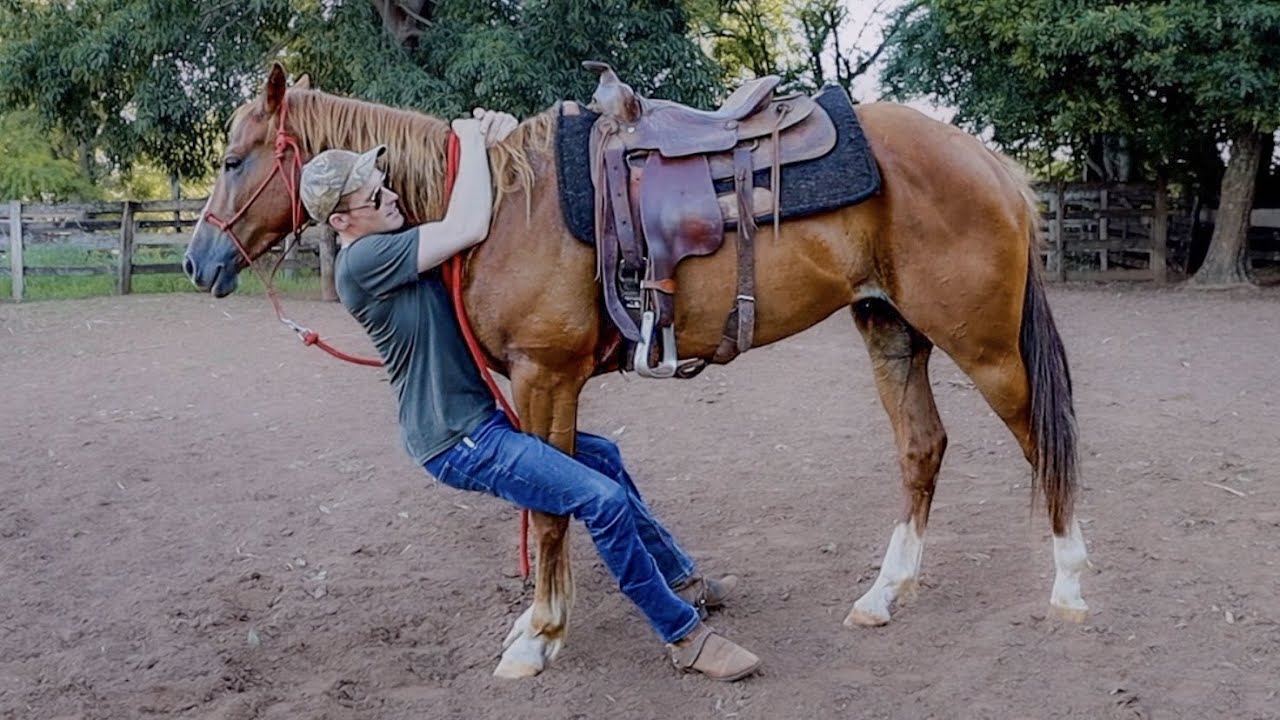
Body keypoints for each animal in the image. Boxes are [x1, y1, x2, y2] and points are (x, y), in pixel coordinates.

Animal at [184, 63, 1090, 679]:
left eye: (231, 160)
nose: (196, 262)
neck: (502, 210)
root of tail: (991, 163)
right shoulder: (548, 387)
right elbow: (574, 494)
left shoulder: (545, 376)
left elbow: (552, 513)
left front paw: (539, 637)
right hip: (891, 330)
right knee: (921, 450)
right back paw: (883, 596)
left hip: (984, 347)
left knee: (1043, 447)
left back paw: (1071, 590)